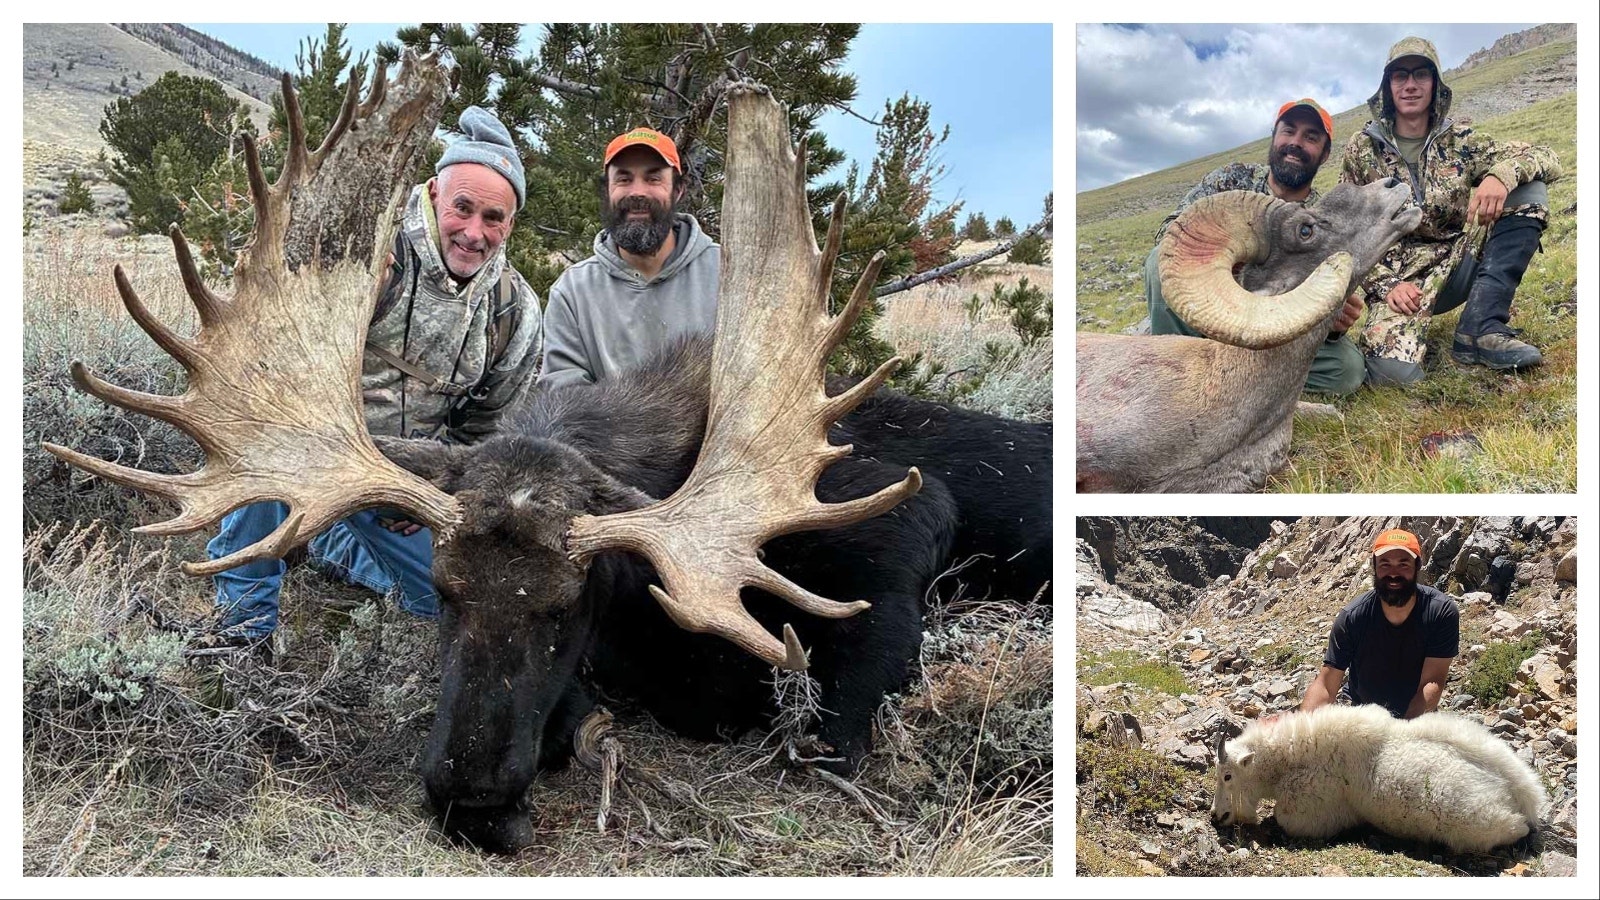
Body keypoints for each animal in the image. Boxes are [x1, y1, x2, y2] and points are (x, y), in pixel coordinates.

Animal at [1210, 704, 1547, 854]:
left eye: (1227, 775)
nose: (1216, 816)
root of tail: (1525, 795)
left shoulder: (1310, 808)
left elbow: (1284, 817)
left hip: (1476, 821)